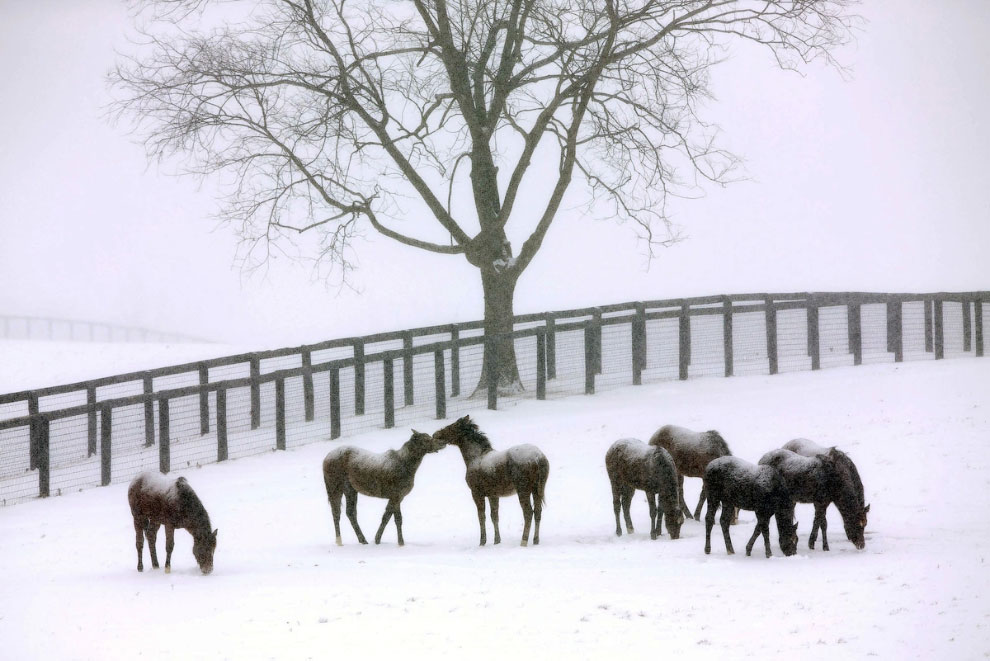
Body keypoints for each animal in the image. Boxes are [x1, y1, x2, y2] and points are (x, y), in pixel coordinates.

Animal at [436, 412, 556, 548]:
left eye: (452, 427)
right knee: (538, 512)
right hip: (536, 490)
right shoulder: (493, 495)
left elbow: (481, 517)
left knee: (528, 513)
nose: (436, 435)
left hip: (523, 490)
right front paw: (497, 540)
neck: (474, 458)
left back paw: (523, 541)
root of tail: (538, 457)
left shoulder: (477, 493)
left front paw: (482, 541)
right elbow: (494, 516)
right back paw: (536, 540)